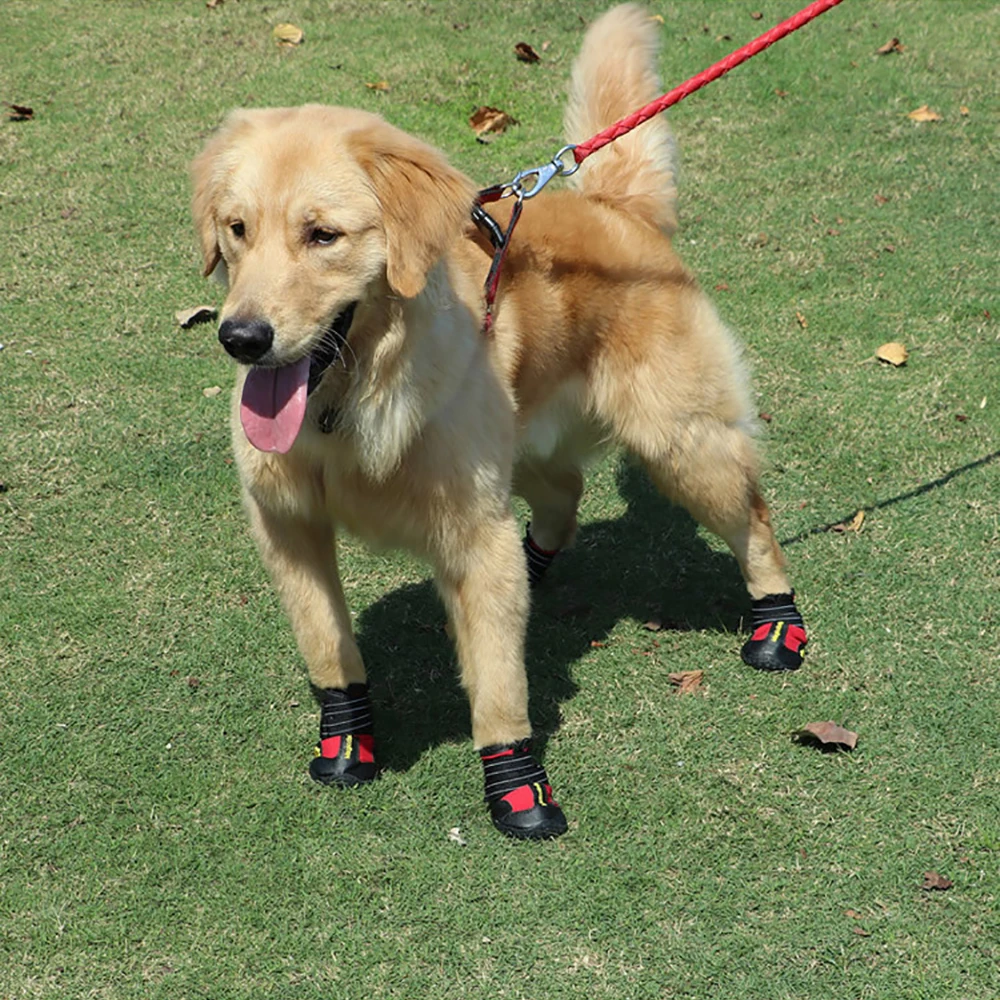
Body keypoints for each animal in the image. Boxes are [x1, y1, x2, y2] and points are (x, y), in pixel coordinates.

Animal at [191, 3, 808, 840]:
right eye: (237, 229)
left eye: (322, 235)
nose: (242, 338)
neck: (350, 400)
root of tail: (615, 205)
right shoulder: (289, 527)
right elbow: (330, 650)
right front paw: (346, 744)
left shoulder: (471, 532)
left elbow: (497, 683)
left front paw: (517, 783)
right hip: (524, 444)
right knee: (564, 491)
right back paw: (538, 563)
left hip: (681, 441)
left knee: (754, 519)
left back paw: (778, 624)